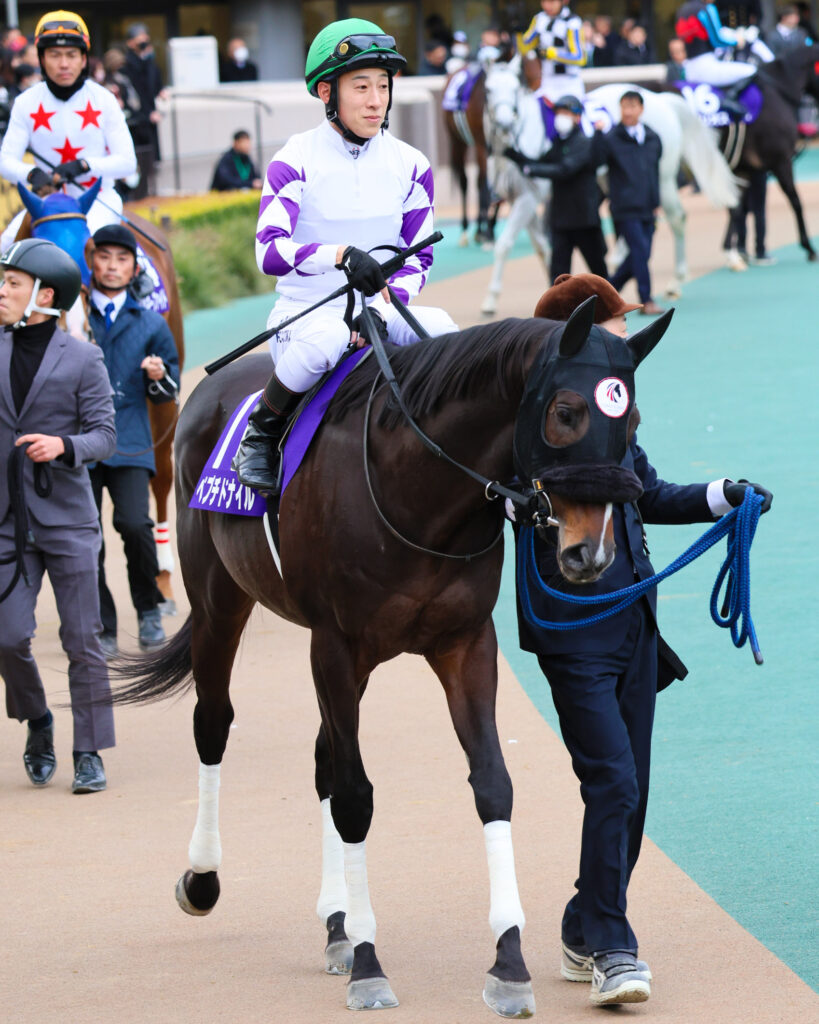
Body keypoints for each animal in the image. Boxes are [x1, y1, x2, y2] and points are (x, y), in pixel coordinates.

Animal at [110, 298, 672, 1016]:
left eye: (631, 421)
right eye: (567, 411)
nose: (589, 552)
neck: (418, 489)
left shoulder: (464, 644)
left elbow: (490, 783)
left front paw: (507, 963)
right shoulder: (336, 644)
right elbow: (354, 797)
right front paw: (370, 965)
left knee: (323, 756)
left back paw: (336, 926)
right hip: (220, 603)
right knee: (214, 724)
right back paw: (204, 878)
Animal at [480, 68, 739, 314]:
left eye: (515, 88)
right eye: (488, 89)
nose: (504, 125)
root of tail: (661, 99)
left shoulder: (529, 197)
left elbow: (504, 245)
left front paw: (490, 301)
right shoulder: (518, 199)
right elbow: (543, 247)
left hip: (662, 179)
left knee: (675, 218)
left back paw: (675, 281)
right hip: (610, 179)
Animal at [720, 44, 819, 269]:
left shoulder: (743, 170)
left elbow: (736, 207)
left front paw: (733, 252)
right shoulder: (781, 162)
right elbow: (796, 201)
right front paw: (808, 247)